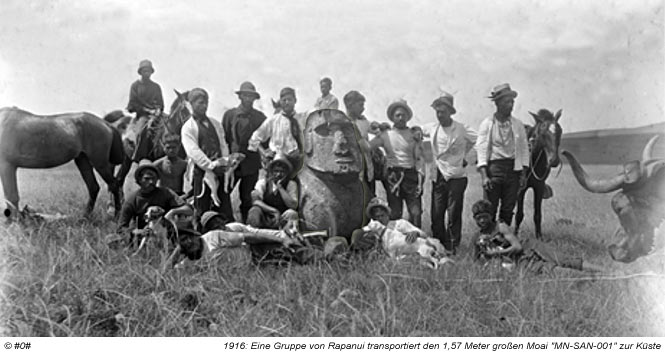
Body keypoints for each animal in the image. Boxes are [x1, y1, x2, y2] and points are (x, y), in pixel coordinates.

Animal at [512, 109, 560, 239]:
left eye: (560, 131)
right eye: (543, 132)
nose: (554, 160)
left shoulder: (539, 186)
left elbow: (537, 215)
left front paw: (539, 236)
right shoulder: (521, 188)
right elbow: (519, 215)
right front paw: (515, 235)